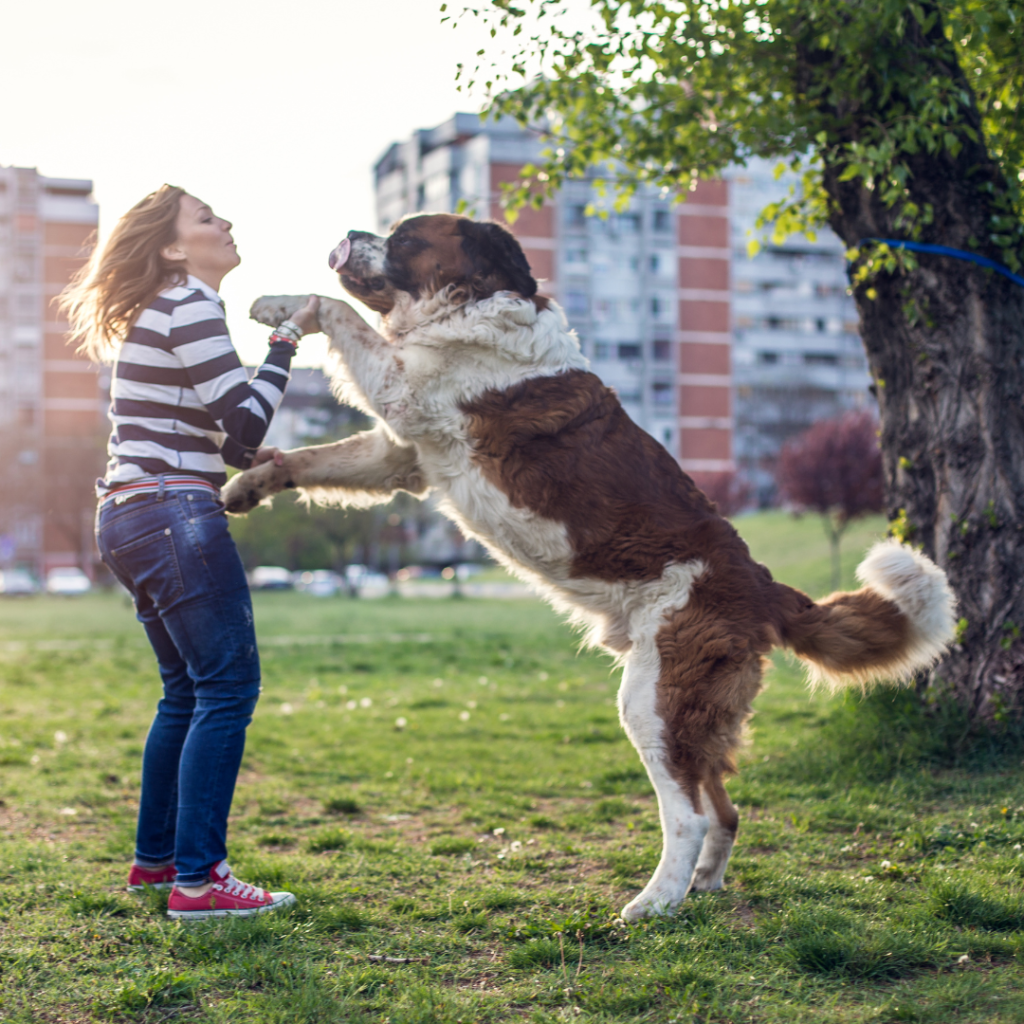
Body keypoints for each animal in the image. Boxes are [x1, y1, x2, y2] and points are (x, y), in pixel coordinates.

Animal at [220, 211, 954, 925]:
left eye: (402, 236)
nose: (350, 232)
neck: (470, 304)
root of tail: (761, 581)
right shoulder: (403, 453)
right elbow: (317, 459)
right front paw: (248, 484)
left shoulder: (405, 392)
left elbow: (337, 311)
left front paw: (278, 302)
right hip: (692, 711)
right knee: (725, 808)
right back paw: (702, 886)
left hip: (653, 699)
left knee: (688, 813)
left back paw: (654, 903)